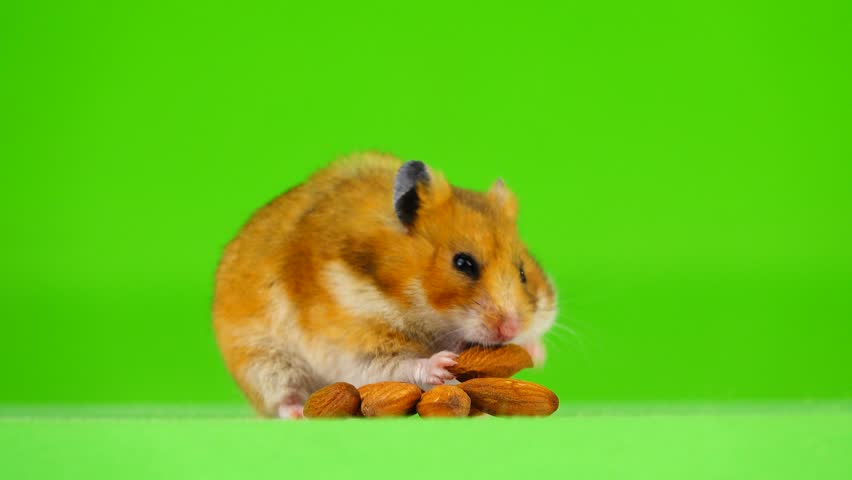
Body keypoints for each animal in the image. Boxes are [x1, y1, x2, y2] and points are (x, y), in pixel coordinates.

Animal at [212, 153, 557, 418]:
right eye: (463, 263)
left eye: (523, 272)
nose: (510, 328)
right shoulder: (352, 342)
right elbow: (395, 365)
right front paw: (442, 365)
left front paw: (535, 353)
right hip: (262, 363)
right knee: (283, 399)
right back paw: (299, 413)